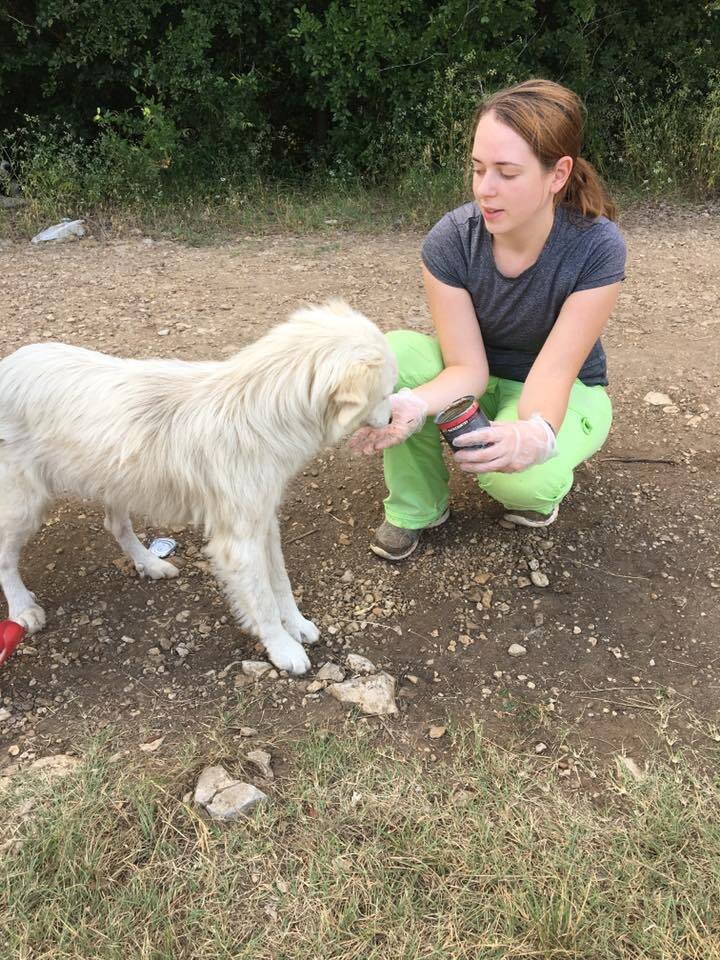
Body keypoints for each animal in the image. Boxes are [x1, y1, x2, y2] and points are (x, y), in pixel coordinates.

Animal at [0, 301, 397, 674]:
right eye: (383, 394)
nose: (395, 417)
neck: (261, 411)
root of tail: (9, 364)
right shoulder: (238, 544)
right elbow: (263, 601)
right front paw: (282, 649)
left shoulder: (264, 522)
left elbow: (280, 582)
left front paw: (296, 624)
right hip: (24, 506)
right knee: (5, 558)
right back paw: (23, 608)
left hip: (114, 480)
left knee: (116, 525)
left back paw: (150, 563)